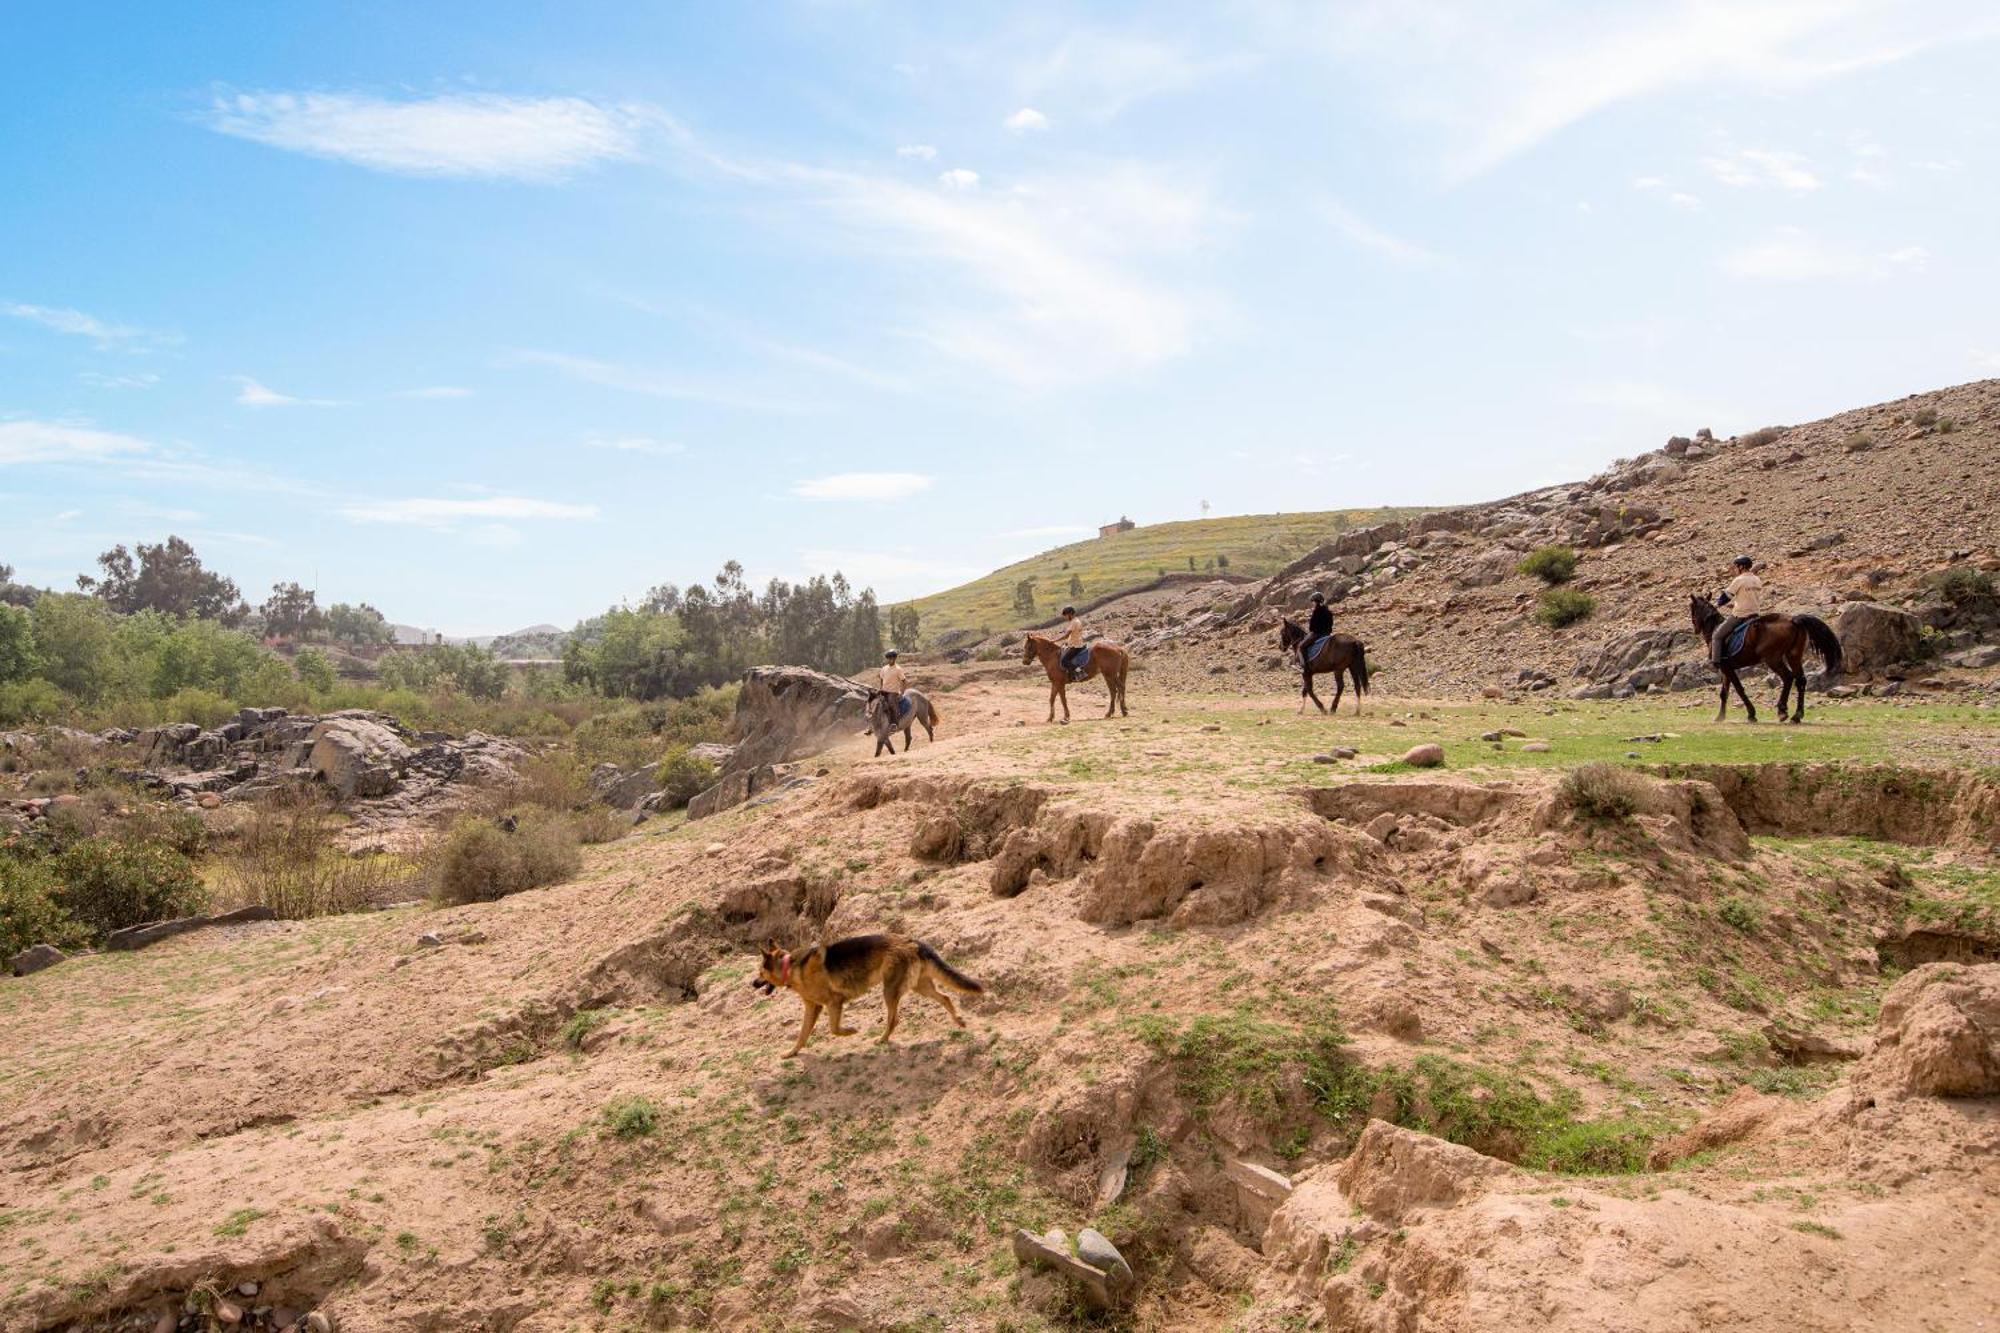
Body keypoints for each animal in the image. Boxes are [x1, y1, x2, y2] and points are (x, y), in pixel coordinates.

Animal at [752, 928, 984, 1056]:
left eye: (760, 972)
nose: (752, 984)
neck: (789, 966)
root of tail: (912, 942)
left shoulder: (833, 1003)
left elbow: (834, 1029)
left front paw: (850, 1031)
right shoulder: (813, 1008)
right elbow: (802, 1035)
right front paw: (792, 1052)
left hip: (890, 990)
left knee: (894, 1019)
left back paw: (882, 1039)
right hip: (920, 986)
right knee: (945, 997)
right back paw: (959, 1021)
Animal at [1688, 588, 1840, 720]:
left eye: (1692, 609)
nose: (1695, 629)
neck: (1714, 628)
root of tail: (1793, 620)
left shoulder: (1726, 668)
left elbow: (1739, 689)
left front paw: (1751, 714)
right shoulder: (1727, 668)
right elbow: (1724, 693)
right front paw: (1720, 717)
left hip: (1773, 659)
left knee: (1788, 678)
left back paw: (1782, 711)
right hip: (1793, 656)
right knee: (1800, 680)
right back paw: (1797, 715)